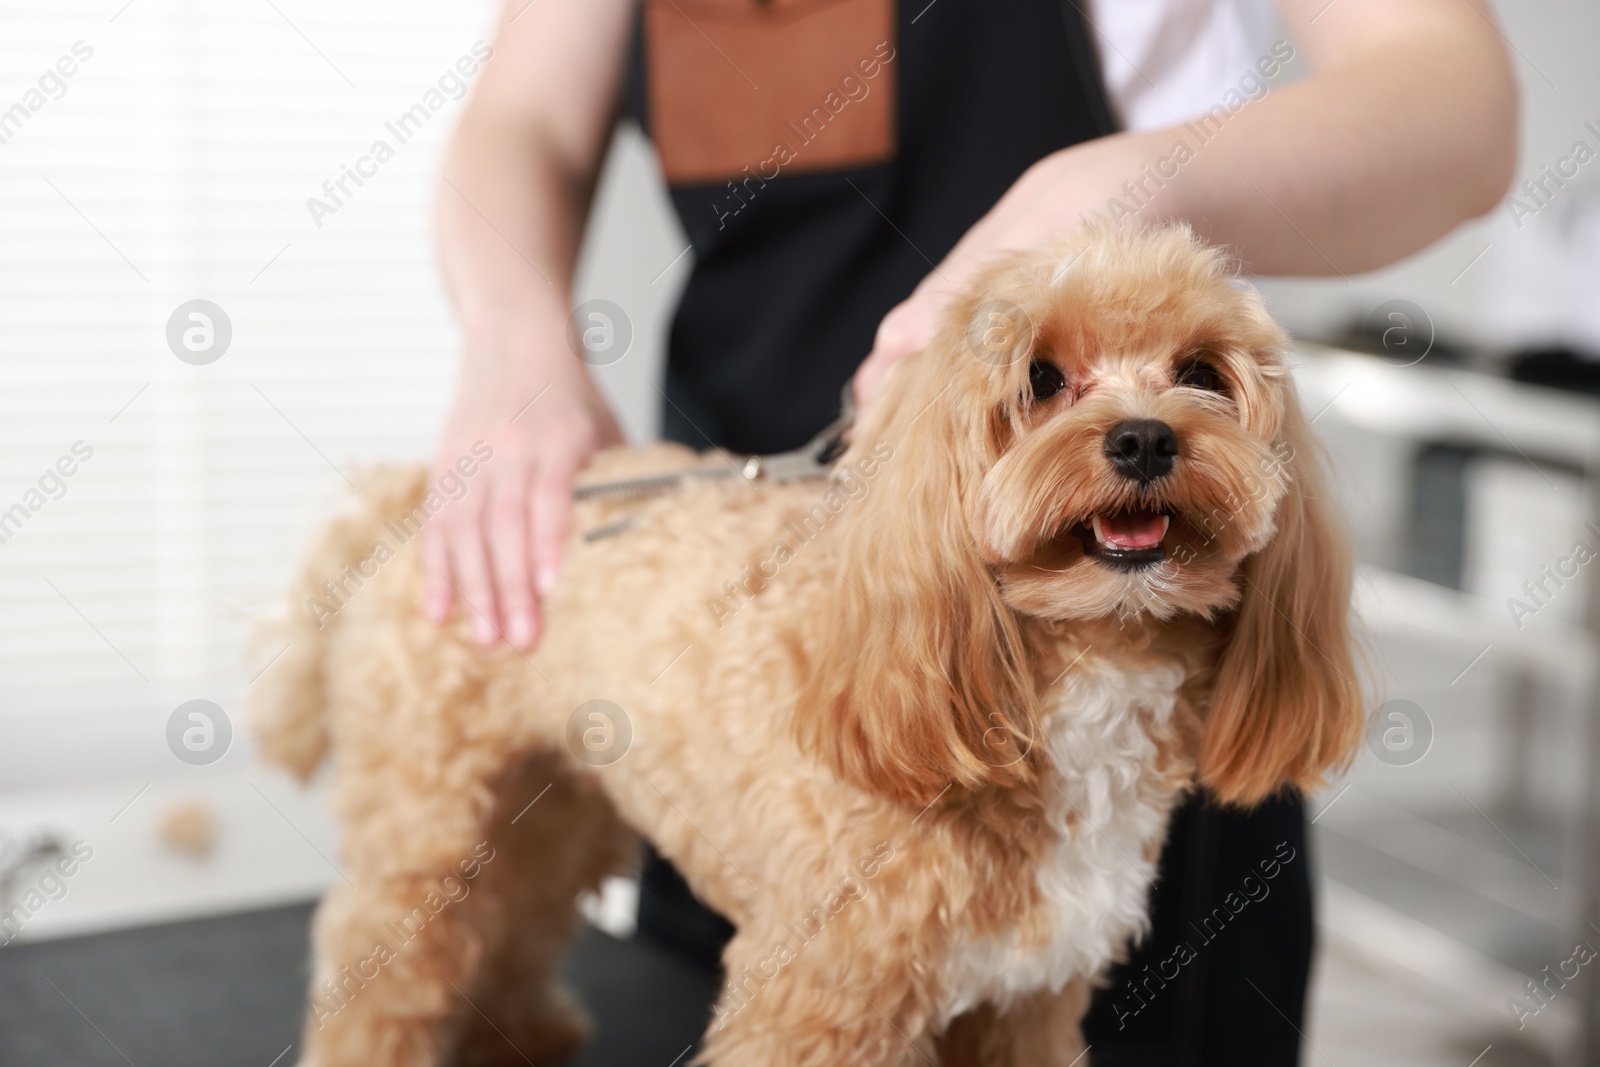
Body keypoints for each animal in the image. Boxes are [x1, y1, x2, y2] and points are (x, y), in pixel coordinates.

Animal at [256, 220, 1356, 1062]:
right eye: (1041, 377)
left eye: (1201, 373)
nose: (1143, 437)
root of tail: (416, 500)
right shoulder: (819, 998)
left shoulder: (1027, 1002)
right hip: (427, 821)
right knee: (382, 960)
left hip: (557, 803)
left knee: (517, 912)